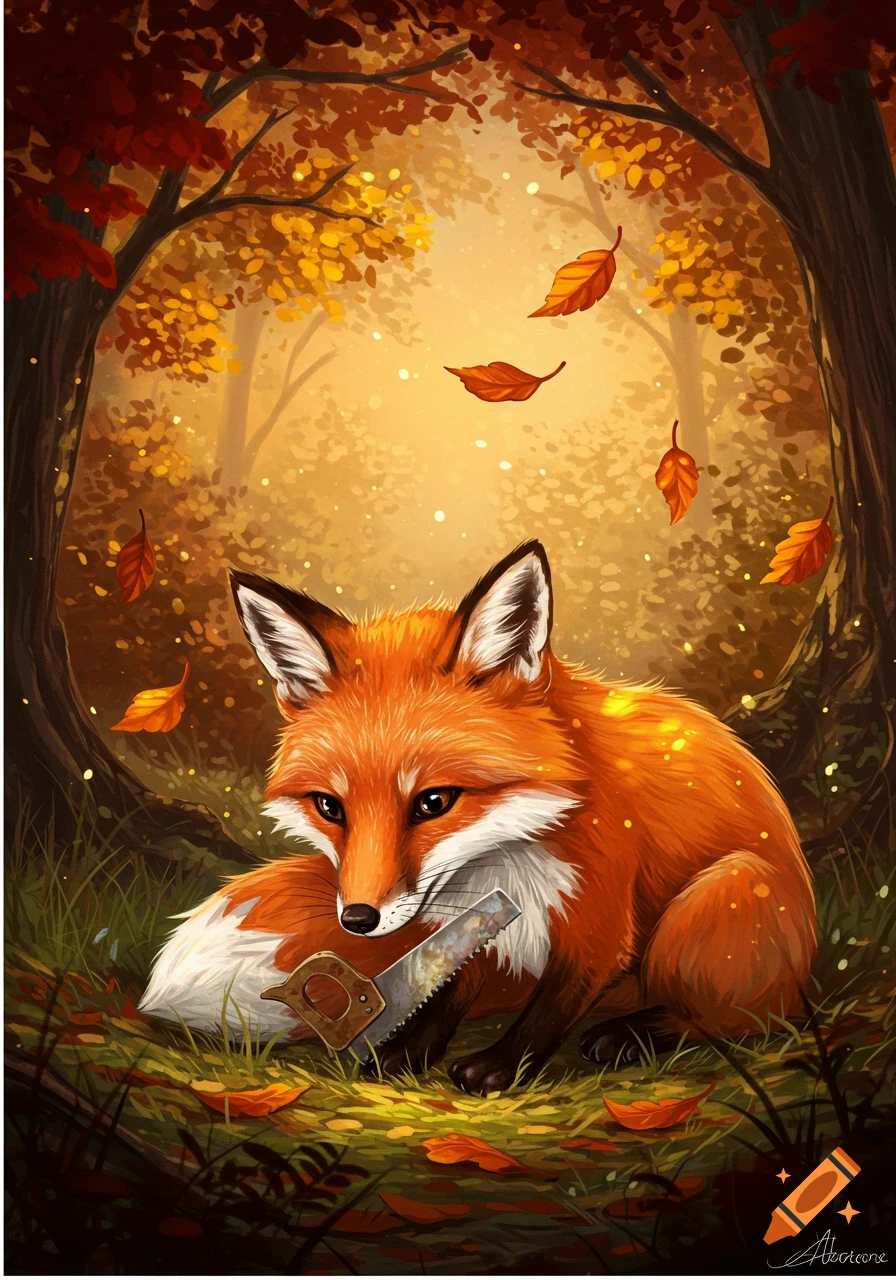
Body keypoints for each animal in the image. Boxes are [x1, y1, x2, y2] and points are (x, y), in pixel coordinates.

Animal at [140, 541, 817, 1094]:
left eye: (434, 801)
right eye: (330, 807)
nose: (357, 920)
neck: (505, 857)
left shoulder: (600, 917)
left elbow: (554, 1005)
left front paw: (501, 1065)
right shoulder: (474, 922)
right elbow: (448, 986)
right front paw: (410, 1049)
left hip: (716, 898)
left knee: (745, 1015)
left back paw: (635, 1033)